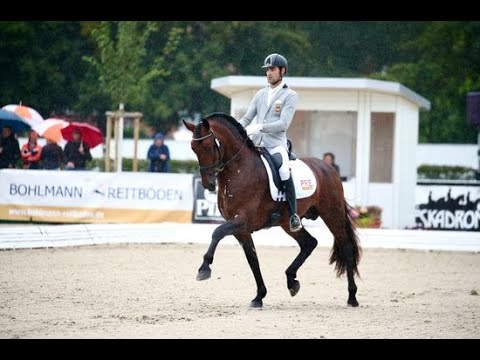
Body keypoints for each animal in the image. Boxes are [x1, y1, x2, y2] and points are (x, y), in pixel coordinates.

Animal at [184, 113, 360, 310]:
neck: (238, 170)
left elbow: (217, 232)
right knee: (309, 243)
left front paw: (204, 268)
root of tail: (328, 168)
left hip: (332, 214)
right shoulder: (241, 229)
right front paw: (259, 297)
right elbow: (252, 259)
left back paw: (352, 297)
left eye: (209, 146)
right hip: (287, 222)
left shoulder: (242, 220)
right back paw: (292, 281)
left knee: (346, 247)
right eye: (193, 148)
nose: (207, 184)